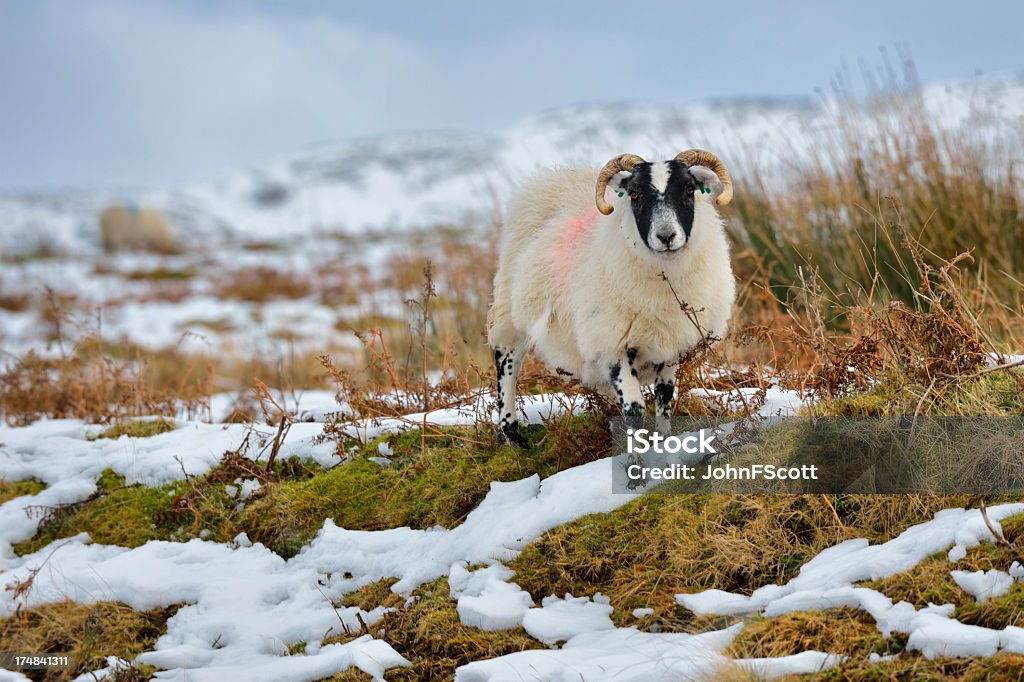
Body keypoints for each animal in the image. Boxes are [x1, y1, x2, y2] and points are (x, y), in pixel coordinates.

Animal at [487, 149, 737, 446]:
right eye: (635, 194)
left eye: (689, 189)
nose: (666, 236)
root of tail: (553, 177)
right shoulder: (612, 345)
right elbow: (634, 409)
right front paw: (636, 456)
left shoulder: (671, 343)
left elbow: (664, 397)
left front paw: (664, 442)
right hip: (509, 310)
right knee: (506, 362)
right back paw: (509, 433)